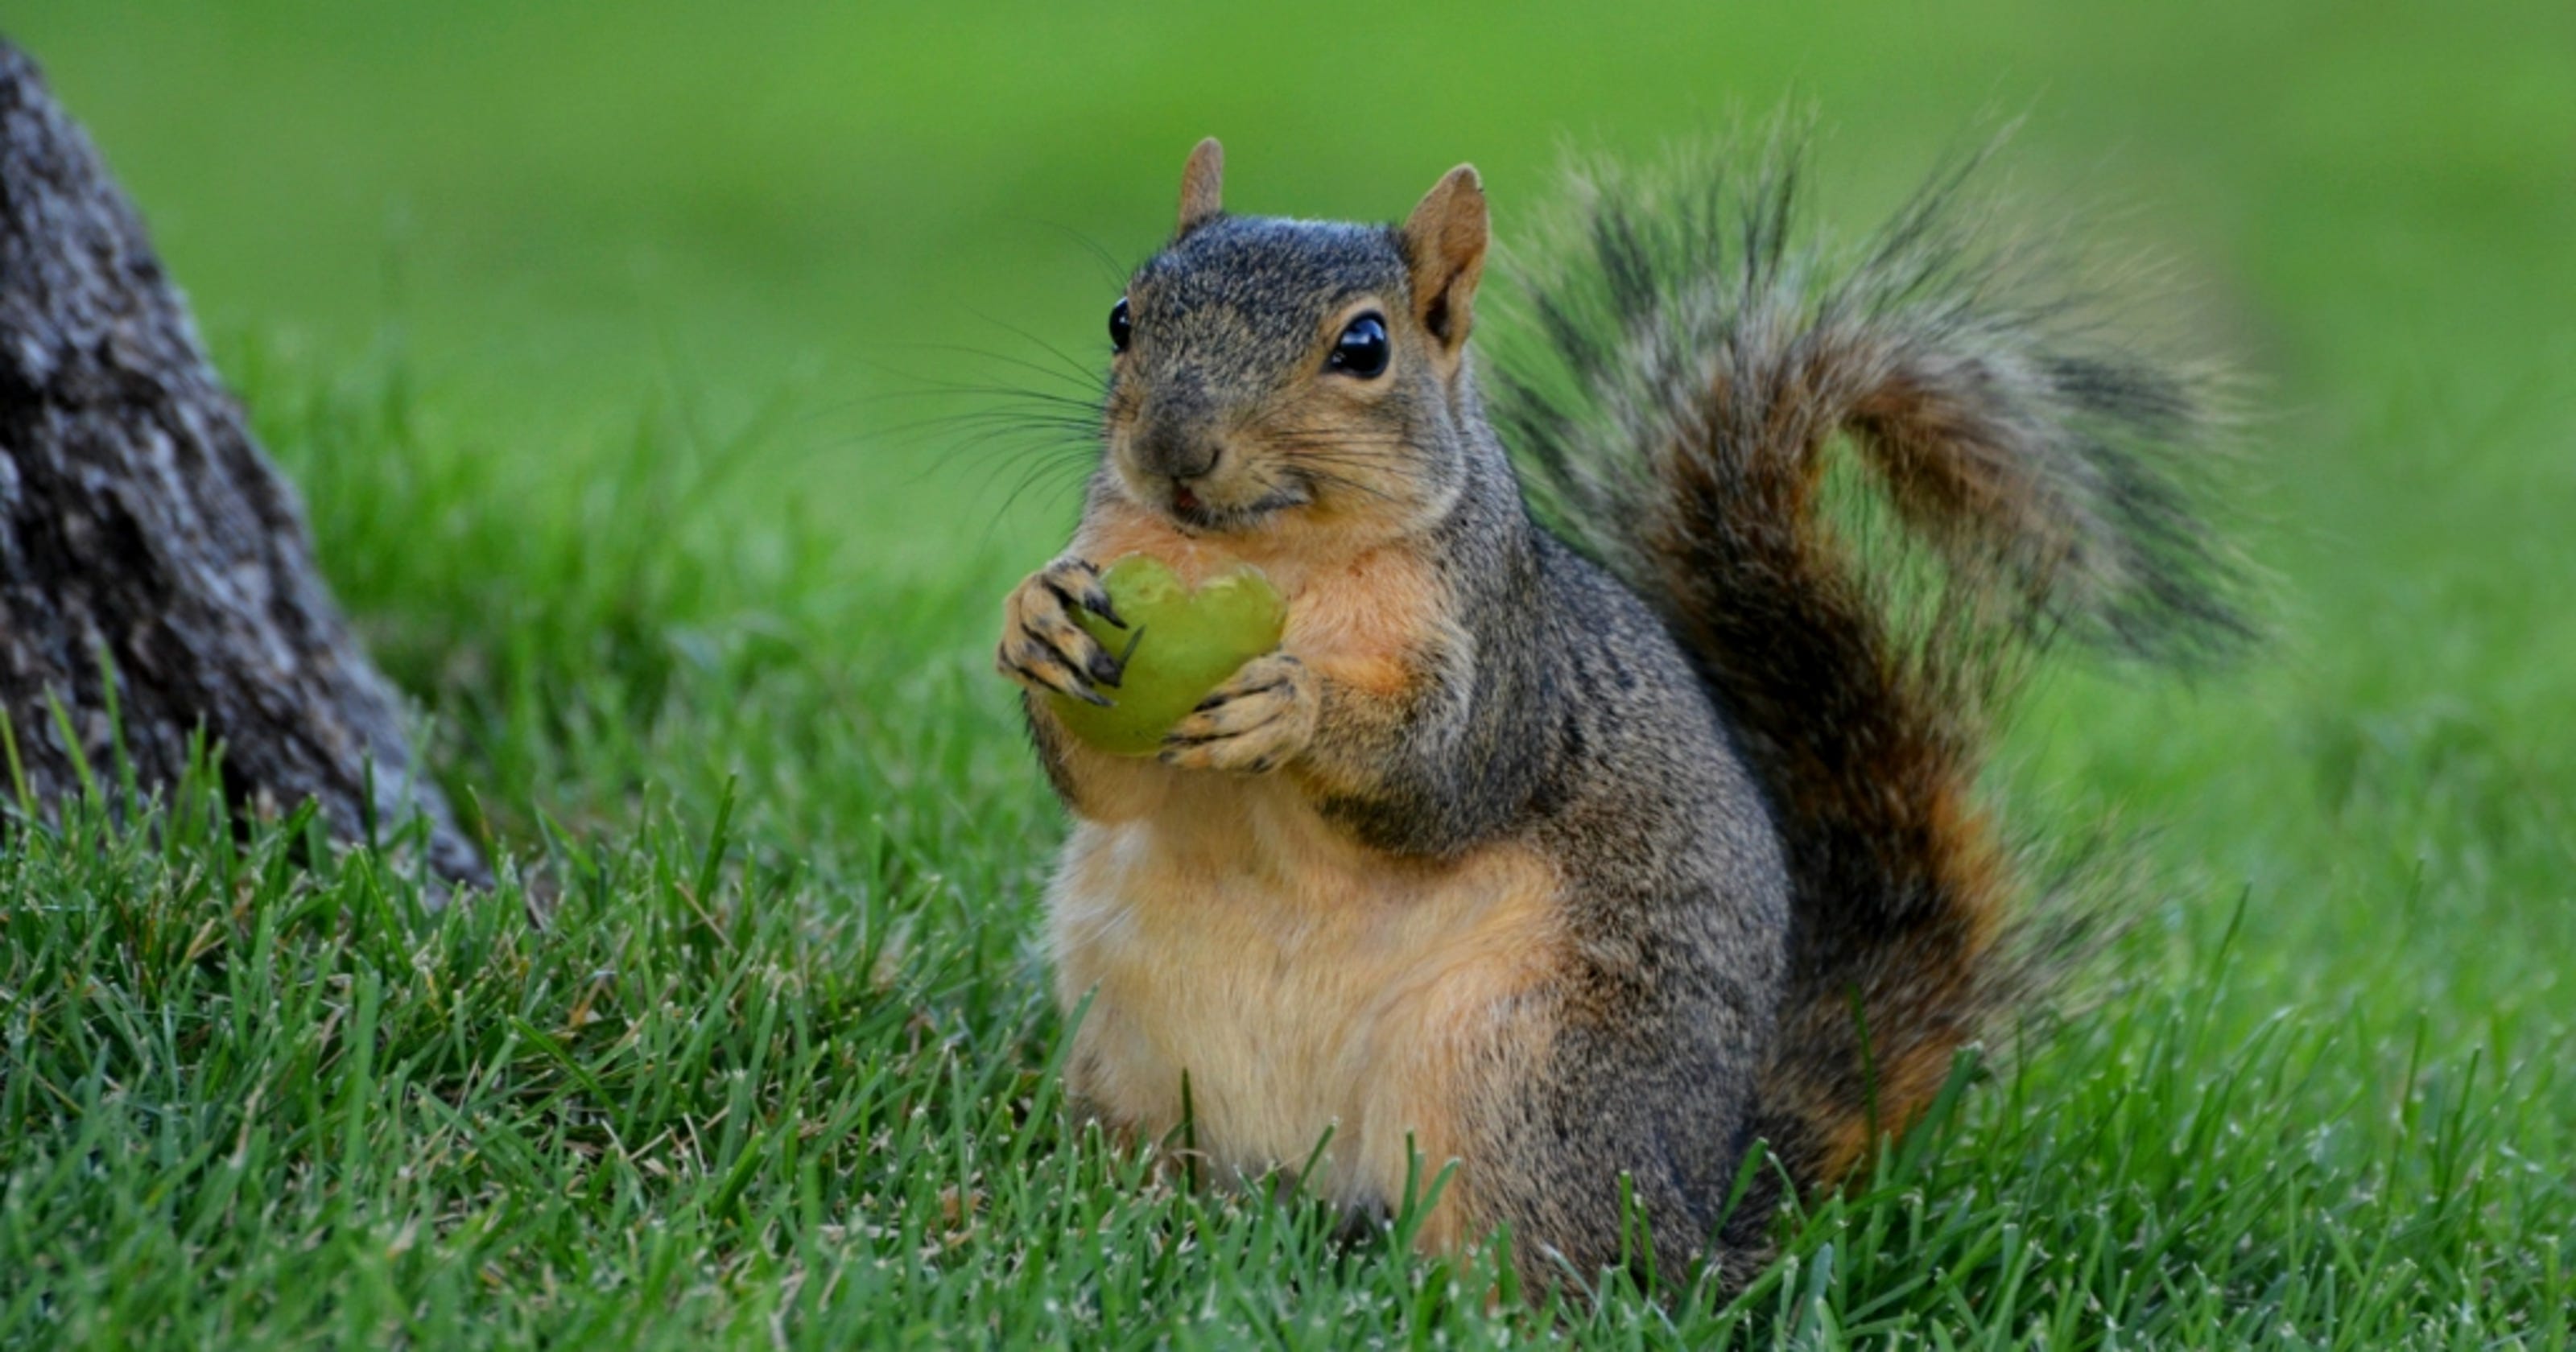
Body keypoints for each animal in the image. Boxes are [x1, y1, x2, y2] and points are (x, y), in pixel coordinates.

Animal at [996, 136, 2244, 1288]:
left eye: (1364, 348)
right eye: (1124, 317)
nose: (1175, 452)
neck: (1272, 557)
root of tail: (1702, 1209)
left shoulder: (1506, 656)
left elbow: (1446, 782)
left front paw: (1292, 707)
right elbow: (1104, 783)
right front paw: (1034, 620)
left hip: (1522, 1076)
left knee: (1554, 1267)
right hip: (1134, 1046)